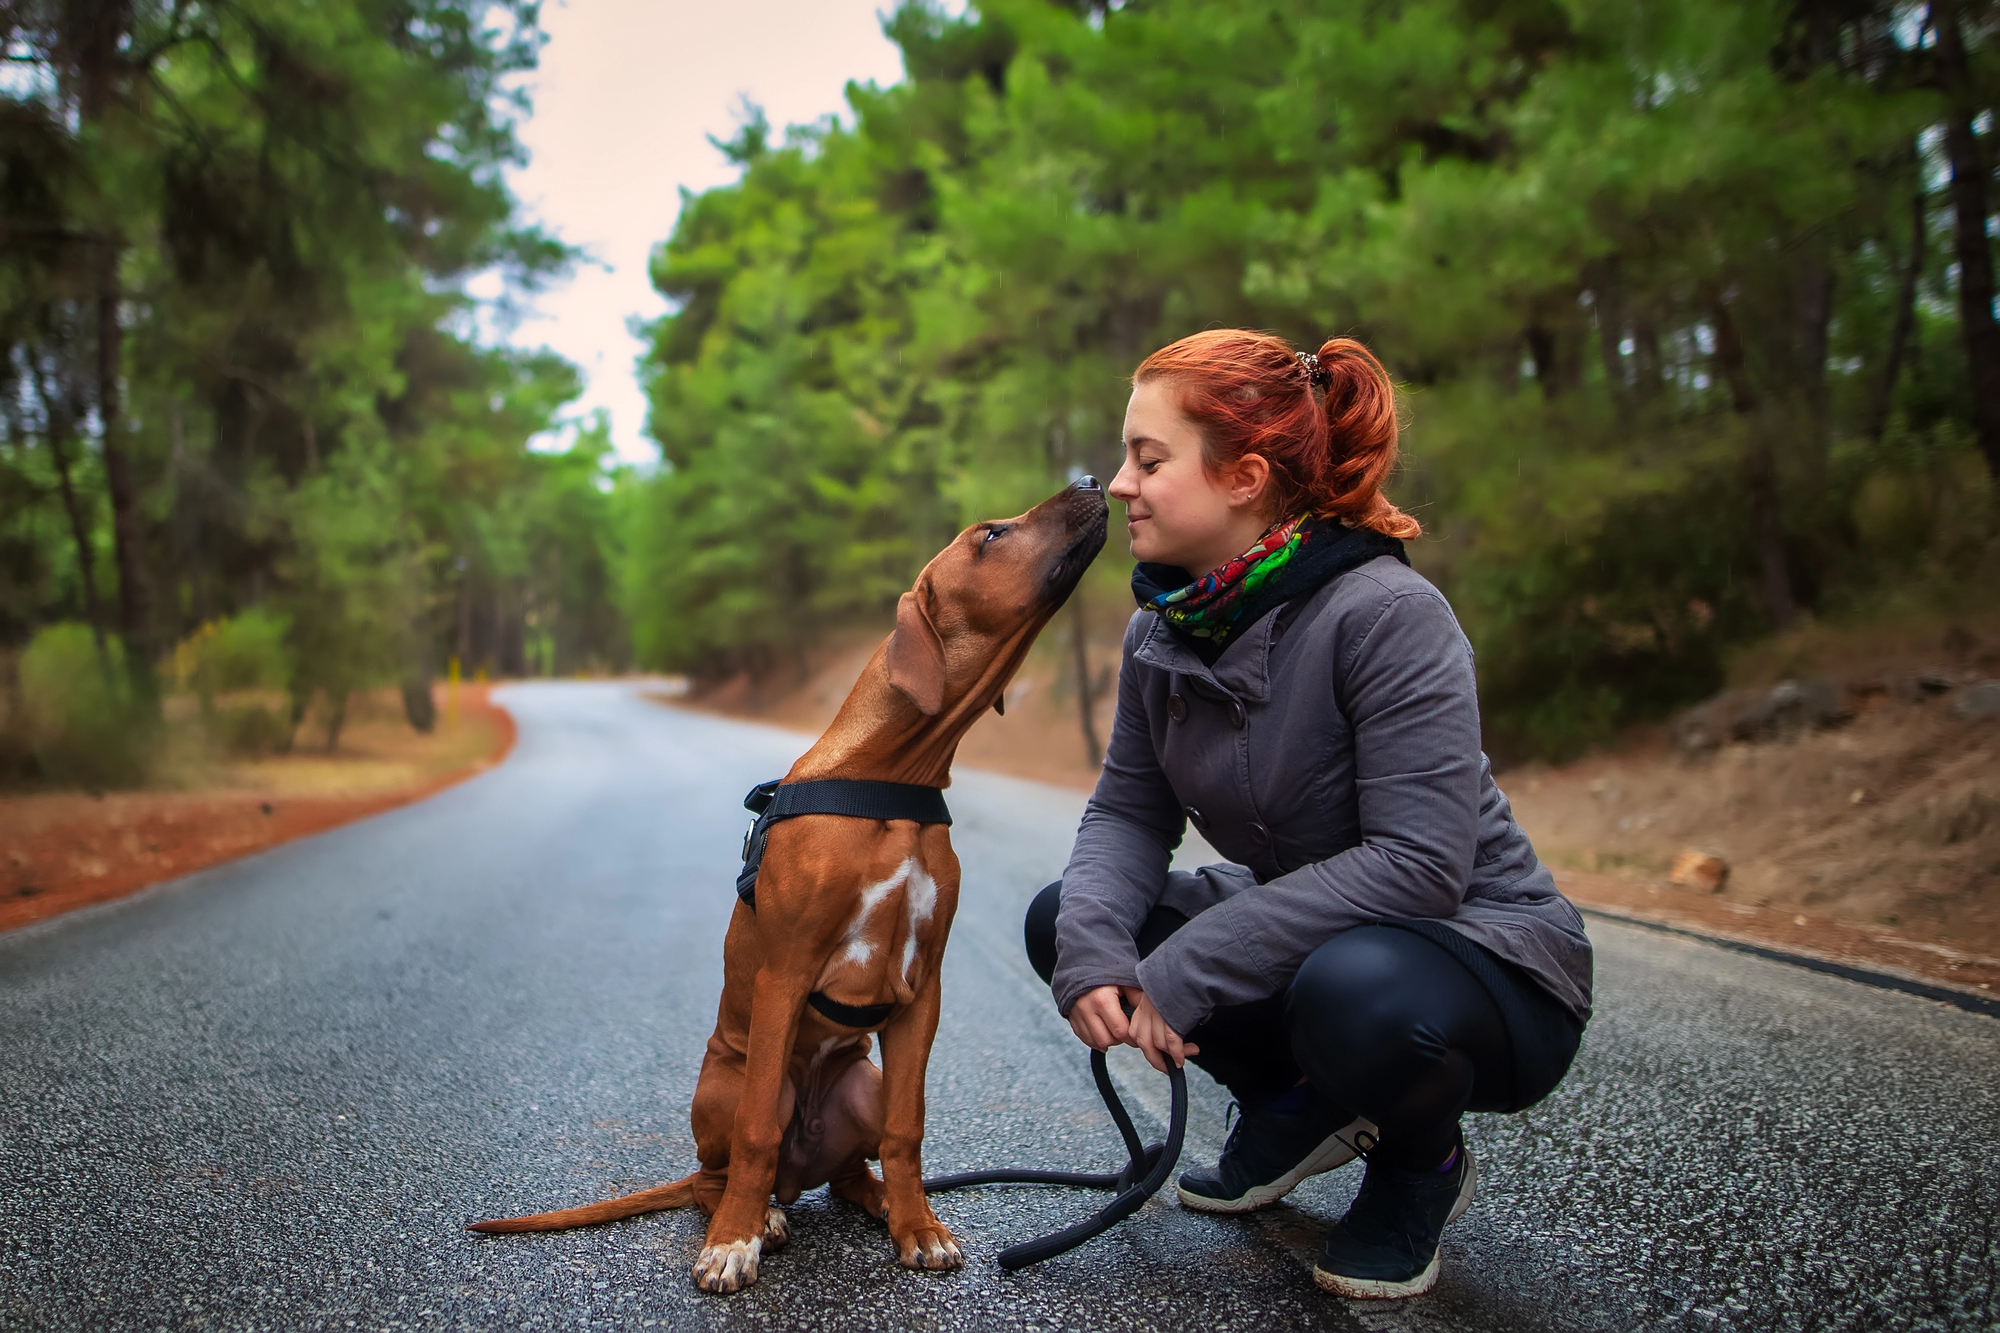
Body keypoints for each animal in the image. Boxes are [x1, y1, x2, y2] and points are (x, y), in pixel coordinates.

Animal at [476, 478, 1120, 1288]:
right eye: (992, 535)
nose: (1093, 481)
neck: (890, 778)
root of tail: (801, 1163)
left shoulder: (925, 990)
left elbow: (909, 1128)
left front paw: (918, 1227)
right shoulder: (784, 975)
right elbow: (755, 1132)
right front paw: (732, 1245)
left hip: (863, 1081)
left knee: (847, 1174)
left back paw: (879, 1201)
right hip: (736, 1084)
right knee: (716, 1174)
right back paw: (756, 1217)